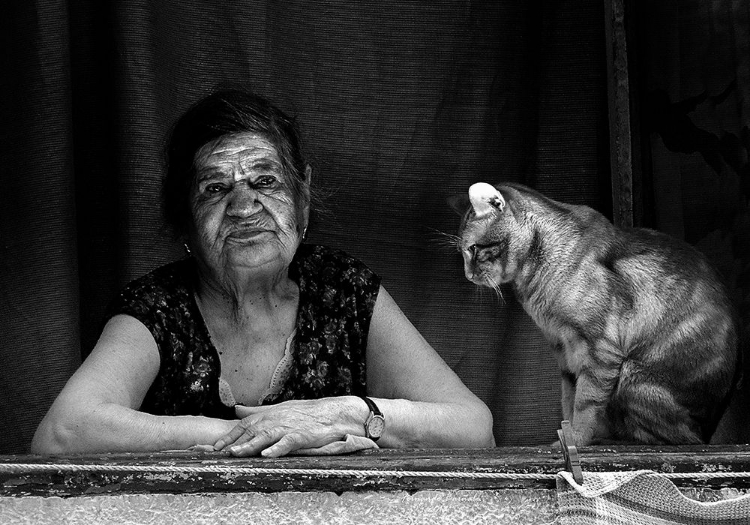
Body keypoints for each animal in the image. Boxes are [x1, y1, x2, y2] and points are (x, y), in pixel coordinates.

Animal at [452, 182, 740, 444]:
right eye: (464, 251)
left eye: (473, 249)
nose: (468, 274)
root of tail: (710, 429)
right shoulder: (563, 351)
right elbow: (568, 400)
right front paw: (567, 438)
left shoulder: (599, 349)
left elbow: (585, 404)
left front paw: (577, 440)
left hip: (633, 376)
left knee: (674, 438)